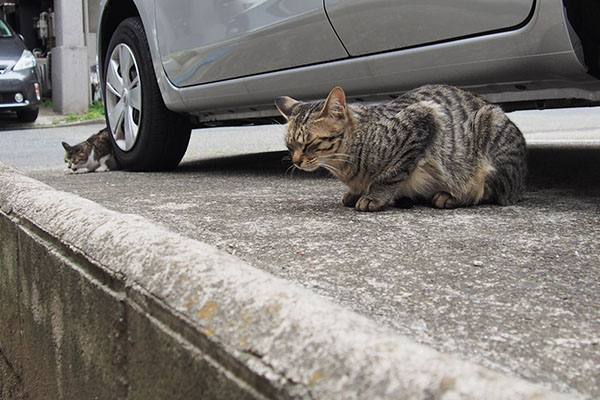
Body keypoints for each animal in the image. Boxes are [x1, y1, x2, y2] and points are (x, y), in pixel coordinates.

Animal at [276, 85, 524, 212]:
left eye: (309, 144)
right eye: (290, 146)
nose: (296, 161)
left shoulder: (424, 119)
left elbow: (391, 174)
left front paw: (373, 195)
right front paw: (357, 192)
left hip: (489, 126)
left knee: (492, 192)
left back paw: (453, 196)